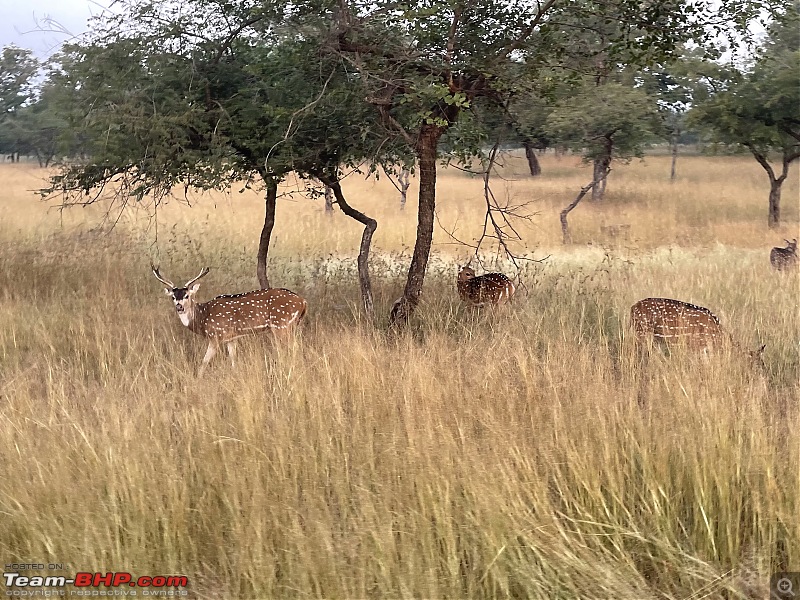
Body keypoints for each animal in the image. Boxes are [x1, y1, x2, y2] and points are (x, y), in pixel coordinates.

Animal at [152, 264, 306, 372]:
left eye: (187, 296)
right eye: (173, 297)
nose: (179, 307)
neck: (203, 318)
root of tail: (303, 301)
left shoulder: (215, 336)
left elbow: (203, 363)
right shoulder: (231, 338)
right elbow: (233, 361)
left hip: (281, 325)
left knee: (294, 349)